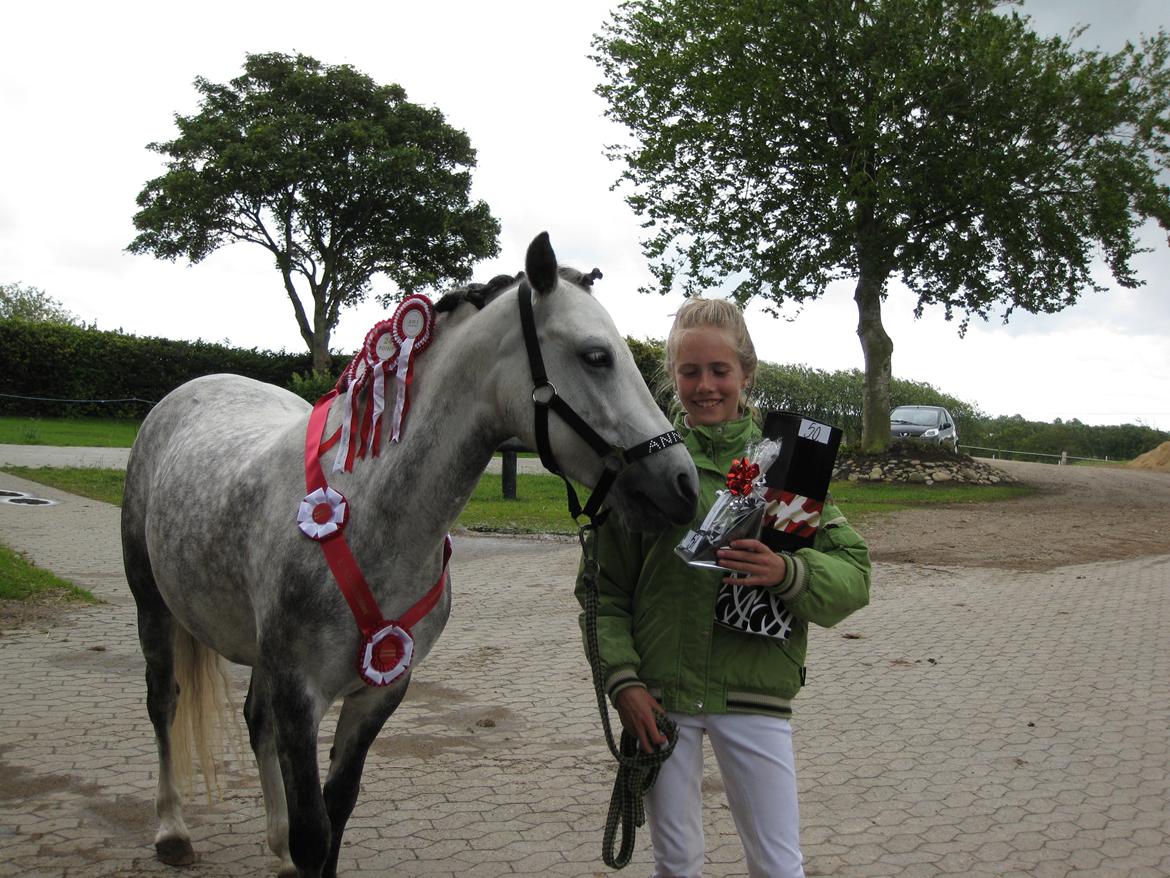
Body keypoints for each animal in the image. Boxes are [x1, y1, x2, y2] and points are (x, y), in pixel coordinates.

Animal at [123, 234, 697, 878]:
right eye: (596, 356)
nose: (682, 485)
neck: (372, 513)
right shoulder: (300, 693)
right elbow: (314, 831)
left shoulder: (379, 692)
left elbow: (336, 812)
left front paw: (298, 849)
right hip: (152, 607)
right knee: (164, 704)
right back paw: (172, 830)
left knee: (254, 722)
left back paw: (274, 845)